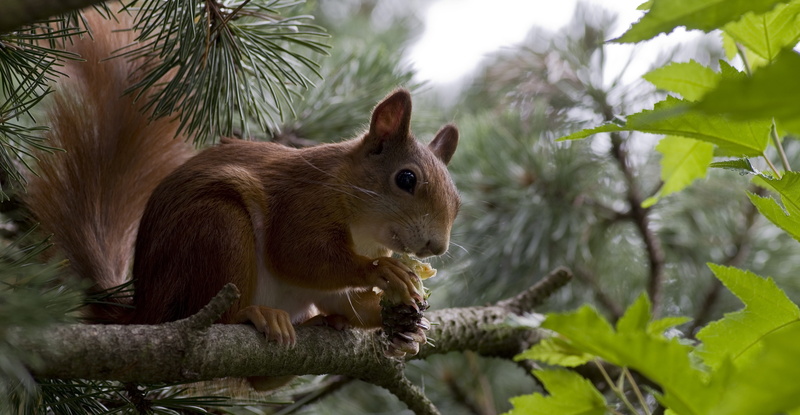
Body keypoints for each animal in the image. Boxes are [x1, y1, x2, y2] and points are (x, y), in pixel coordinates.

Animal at [25, 12, 460, 350]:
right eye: (406, 178)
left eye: (457, 201)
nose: (437, 247)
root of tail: (146, 311)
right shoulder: (304, 202)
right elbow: (297, 254)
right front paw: (381, 271)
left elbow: (346, 297)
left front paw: (407, 320)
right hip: (217, 230)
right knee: (219, 317)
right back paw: (257, 315)